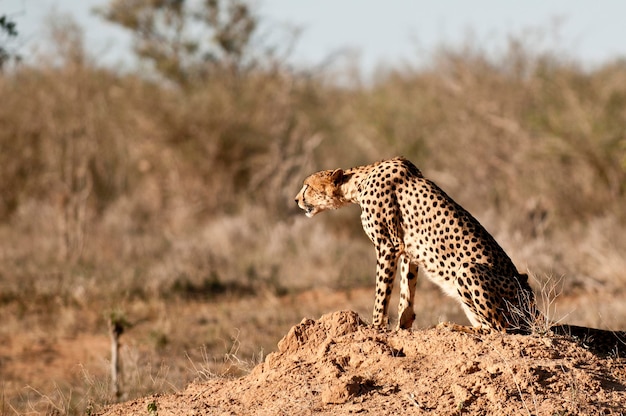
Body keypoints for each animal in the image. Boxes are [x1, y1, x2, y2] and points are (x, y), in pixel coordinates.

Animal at [296, 158, 624, 352]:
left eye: (307, 185)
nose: (297, 199)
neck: (359, 181)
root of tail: (533, 307)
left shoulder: (387, 246)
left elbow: (382, 292)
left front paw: (375, 328)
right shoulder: (408, 251)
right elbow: (406, 294)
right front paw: (403, 327)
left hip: (469, 271)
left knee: (501, 331)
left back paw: (457, 327)